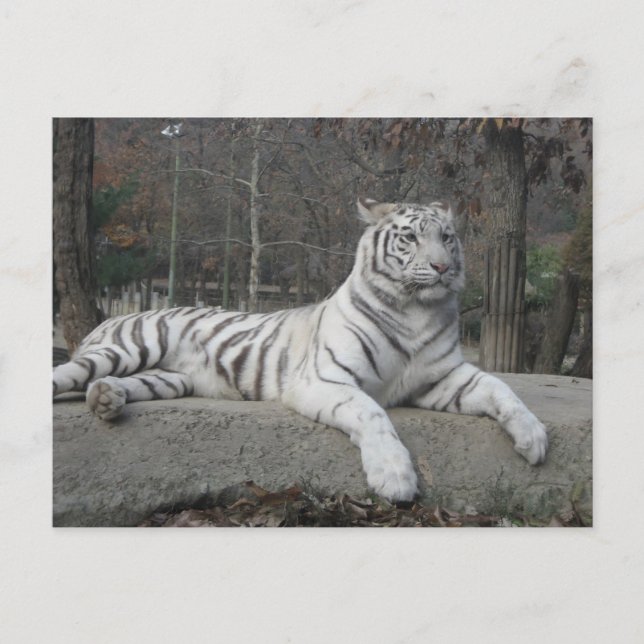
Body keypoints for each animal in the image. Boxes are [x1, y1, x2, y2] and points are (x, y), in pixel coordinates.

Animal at [53, 198, 548, 502]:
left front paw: (534, 438)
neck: (415, 310)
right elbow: (372, 412)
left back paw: (106, 399)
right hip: (130, 347)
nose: (443, 268)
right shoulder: (326, 378)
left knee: (116, 385)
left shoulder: (444, 378)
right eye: (410, 238)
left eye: (447, 237)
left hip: (168, 378)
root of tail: (108, 318)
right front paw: (394, 476)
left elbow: (502, 390)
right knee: (67, 375)